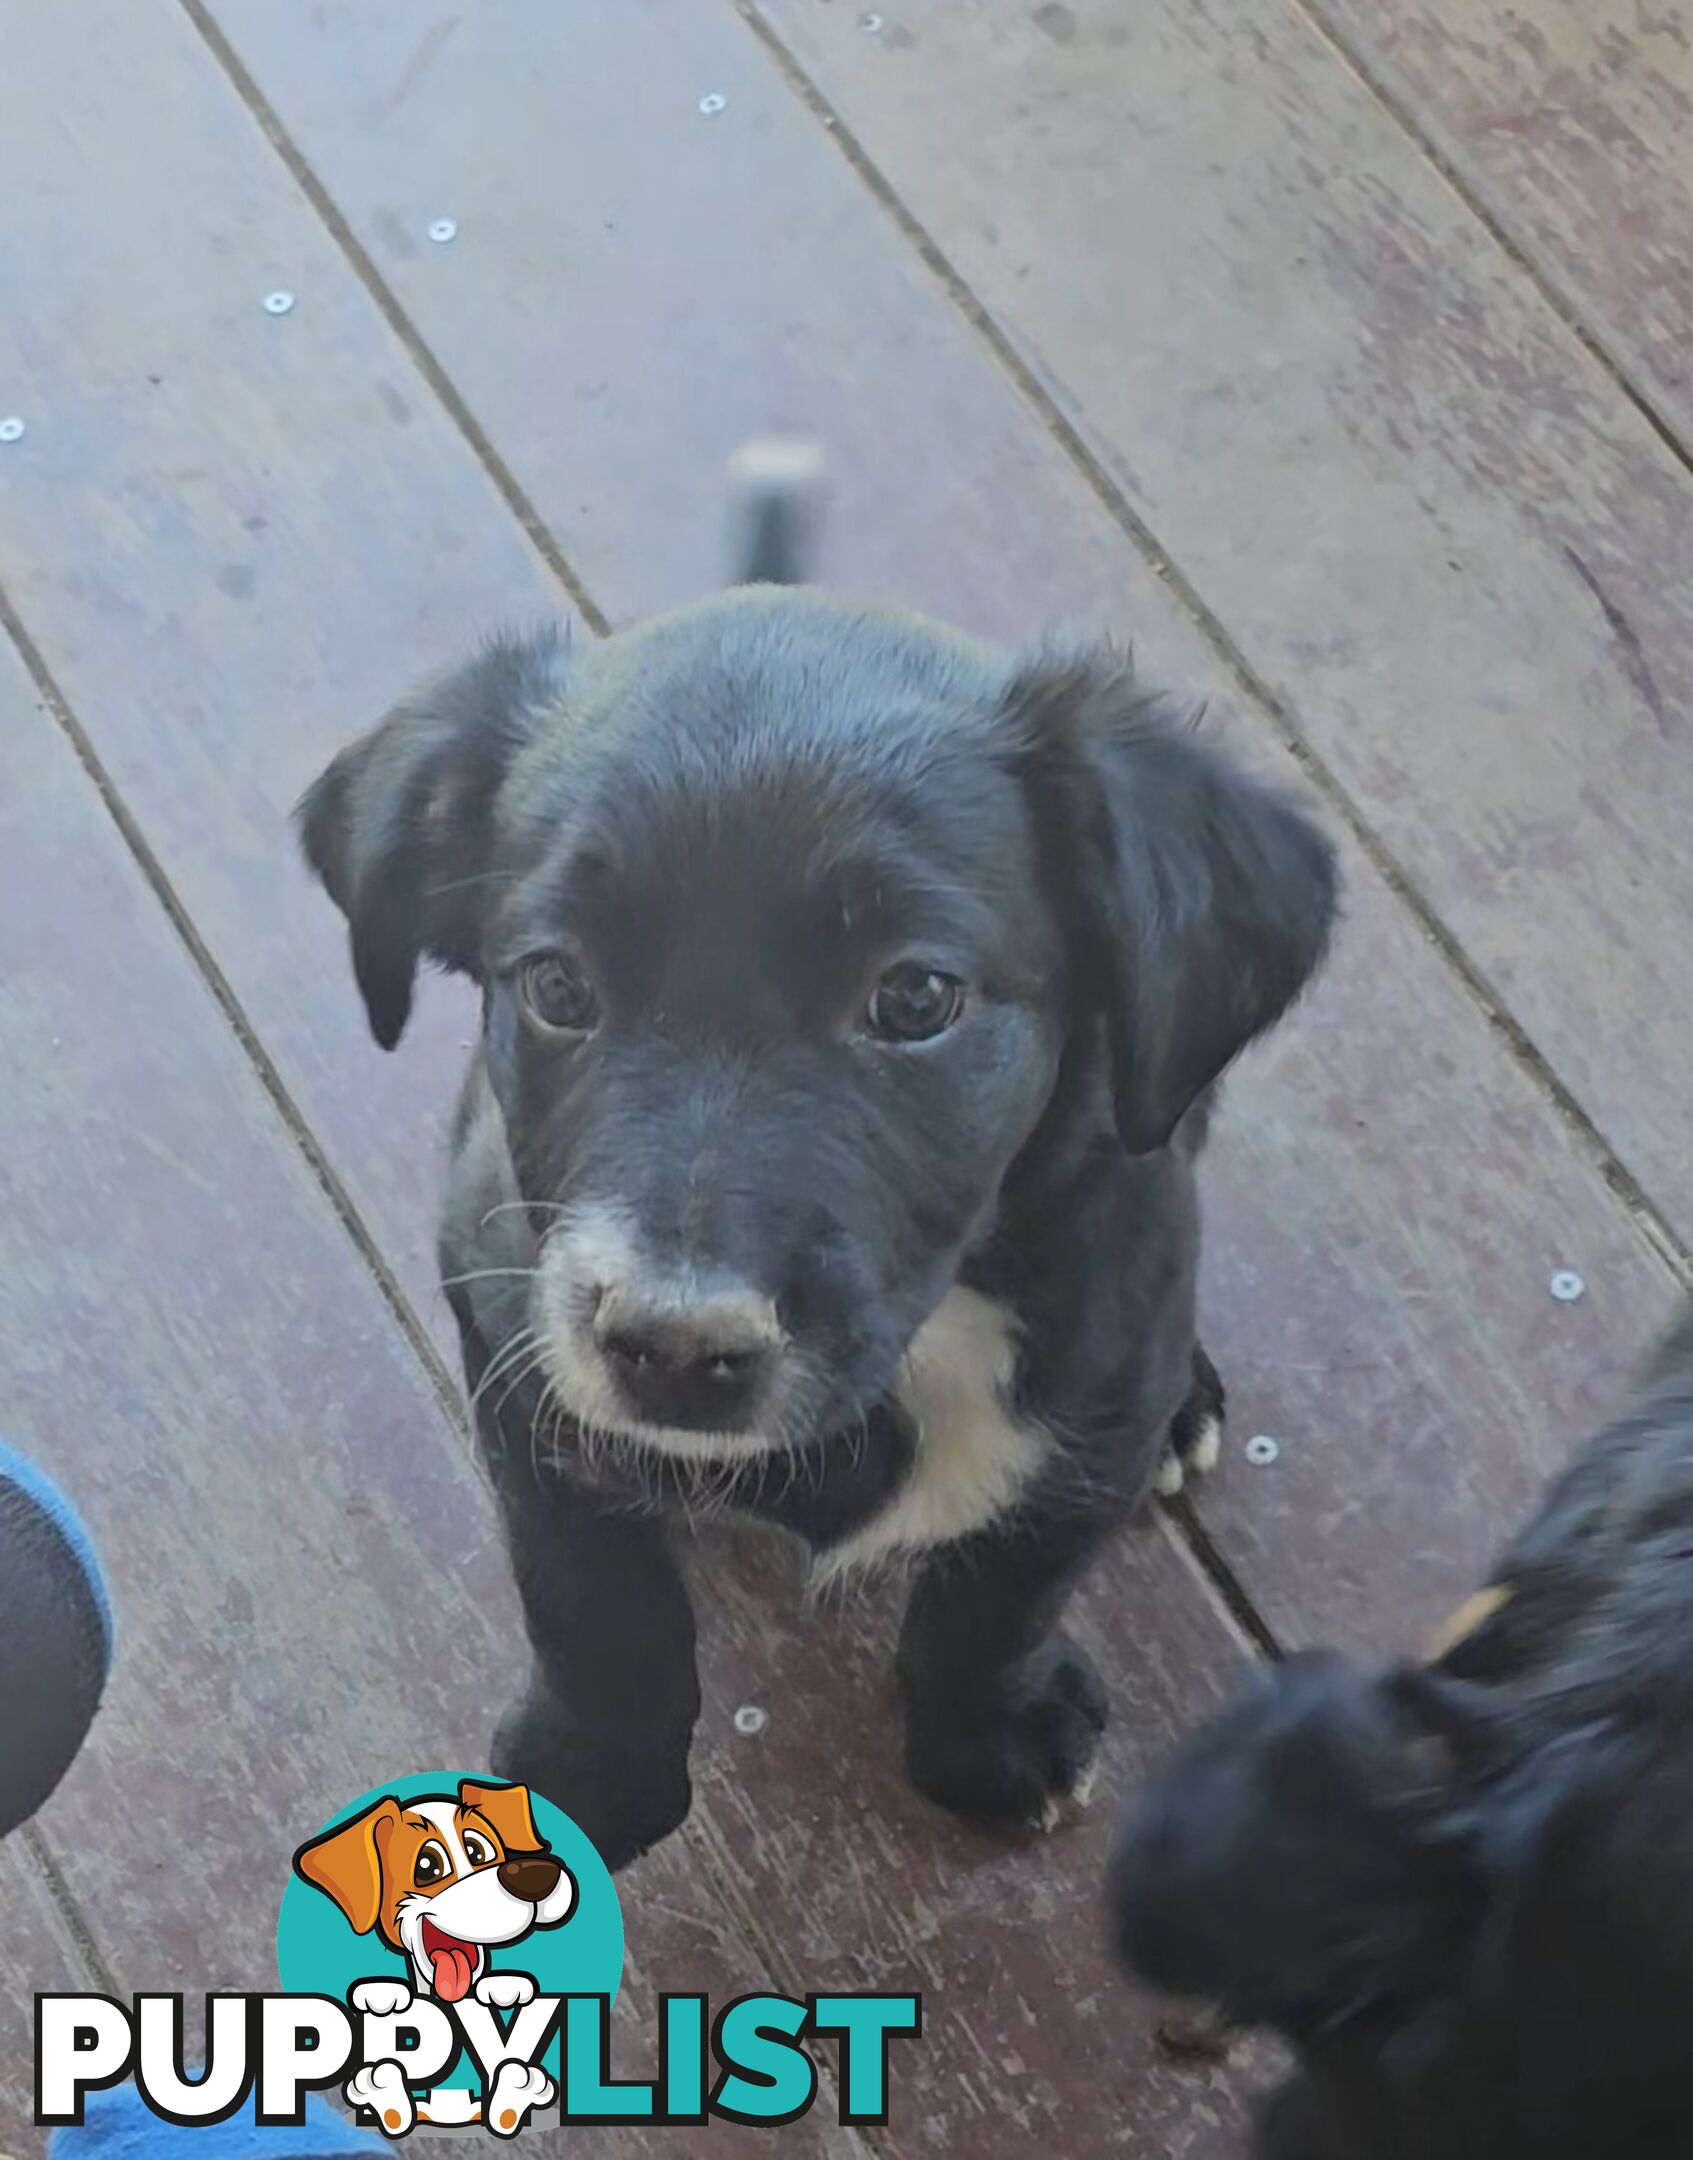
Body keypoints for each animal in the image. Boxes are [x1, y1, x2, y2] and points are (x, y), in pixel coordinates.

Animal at [300, 464, 1338, 1866]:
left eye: (915, 999)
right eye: (557, 986)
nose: (673, 1350)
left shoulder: (1097, 1386)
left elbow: (999, 1597)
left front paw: (986, 1738)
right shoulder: (515, 1350)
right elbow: (589, 1596)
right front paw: (590, 1769)